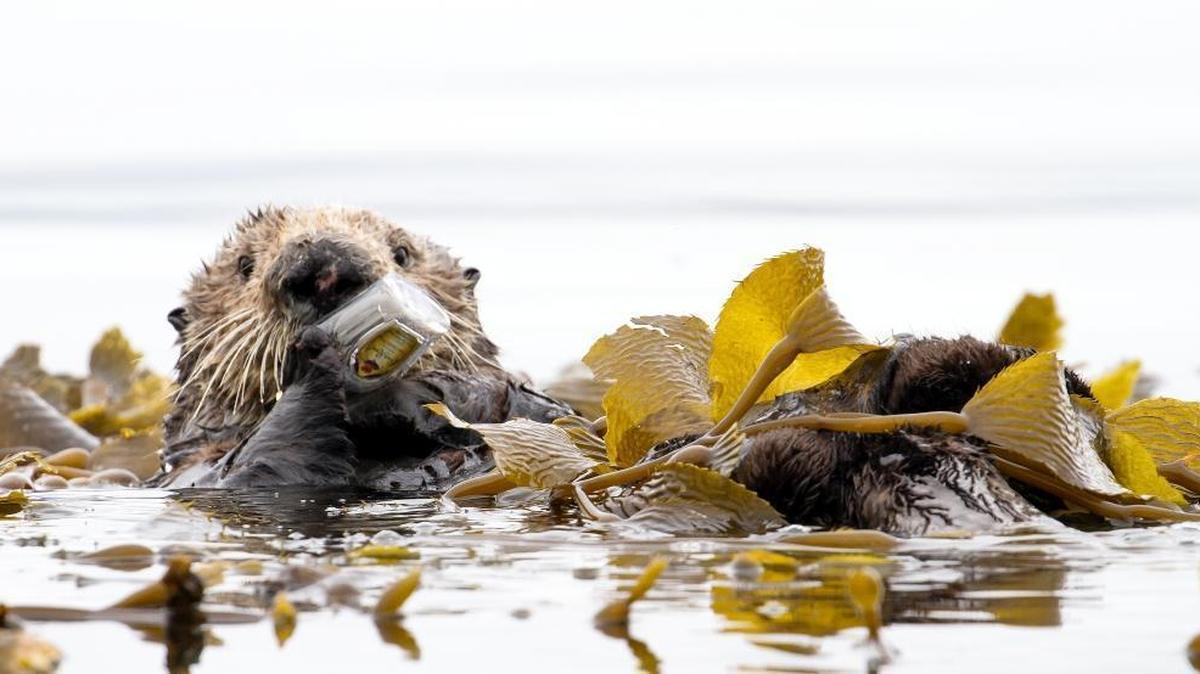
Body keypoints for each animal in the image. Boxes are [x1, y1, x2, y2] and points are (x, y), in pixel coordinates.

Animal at [154, 206, 570, 489]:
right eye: (244, 265)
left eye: (401, 253)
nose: (324, 269)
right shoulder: (196, 471)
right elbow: (261, 467)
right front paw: (315, 362)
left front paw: (428, 395)